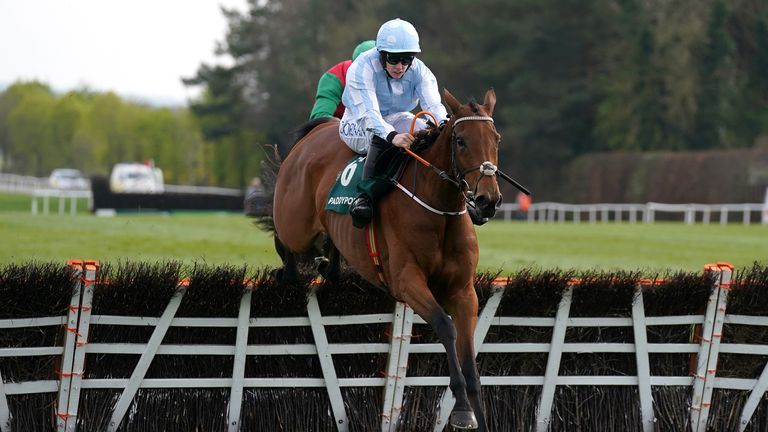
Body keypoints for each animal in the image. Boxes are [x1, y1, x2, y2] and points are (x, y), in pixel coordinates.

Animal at [272, 89, 504, 430]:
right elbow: (445, 326)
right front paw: (461, 407)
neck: (439, 208)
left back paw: (329, 266)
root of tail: (319, 129)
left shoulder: (463, 290)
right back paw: (288, 272)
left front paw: (474, 411)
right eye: (461, 140)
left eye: (496, 139)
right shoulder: (406, 281)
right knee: (284, 239)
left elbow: (468, 348)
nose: (488, 200)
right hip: (295, 223)